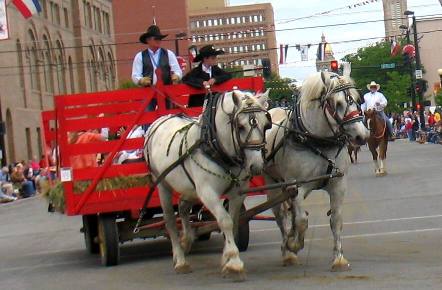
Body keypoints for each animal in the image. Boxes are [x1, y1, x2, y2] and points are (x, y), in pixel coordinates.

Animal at [145, 90, 270, 278]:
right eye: (240, 127)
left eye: (265, 125)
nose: (256, 166)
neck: (216, 145)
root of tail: (160, 120)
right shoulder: (207, 192)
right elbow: (225, 221)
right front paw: (234, 262)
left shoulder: (238, 192)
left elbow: (234, 221)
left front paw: (226, 257)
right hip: (162, 184)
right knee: (170, 220)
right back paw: (180, 259)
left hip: (189, 188)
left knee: (182, 207)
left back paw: (187, 240)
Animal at [264, 72, 368, 272]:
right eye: (338, 103)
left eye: (358, 99)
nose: (362, 136)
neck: (317, 140)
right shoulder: (296, 186)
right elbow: (302, 220)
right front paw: (294, 244)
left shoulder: (338, 185)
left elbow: (336, 220)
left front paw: (339, 259)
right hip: (273, 184)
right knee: (281, 216)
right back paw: (288, 251)